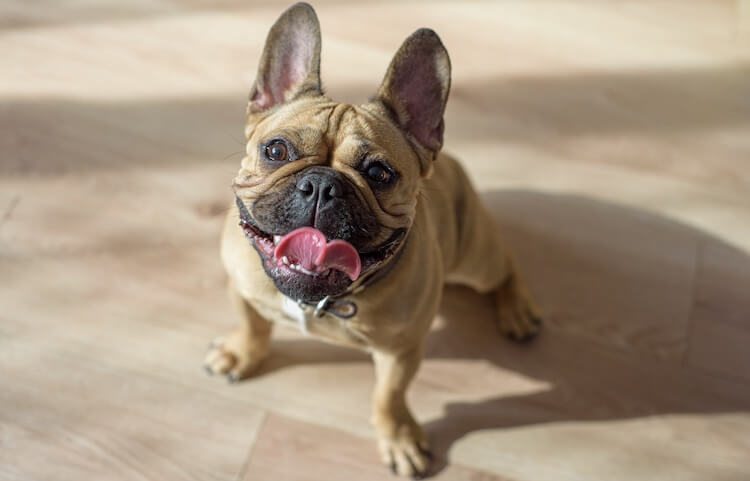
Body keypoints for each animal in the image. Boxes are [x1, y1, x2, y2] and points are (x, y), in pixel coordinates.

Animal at [206, 2, 544, 476]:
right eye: (276, 150)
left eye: (380, 174)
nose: (322, 185)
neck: (318, 299)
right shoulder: (243, 288)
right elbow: (252, 325)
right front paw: (241, 353)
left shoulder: (401, 350)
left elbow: (389, 395)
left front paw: (398, 438)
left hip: (475, 259)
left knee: (506, 265)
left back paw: (517, 311)